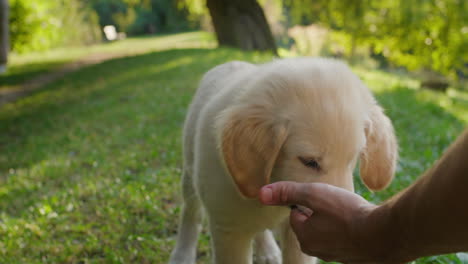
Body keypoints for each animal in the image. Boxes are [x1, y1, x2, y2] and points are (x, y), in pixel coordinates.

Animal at [170, 57, 396, 264]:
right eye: (309, 161)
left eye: (353, 159)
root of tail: (231, 62)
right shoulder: (228, 229)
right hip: (190, 175)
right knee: (191, 213)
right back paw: (182, 255)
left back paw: (268, 251)